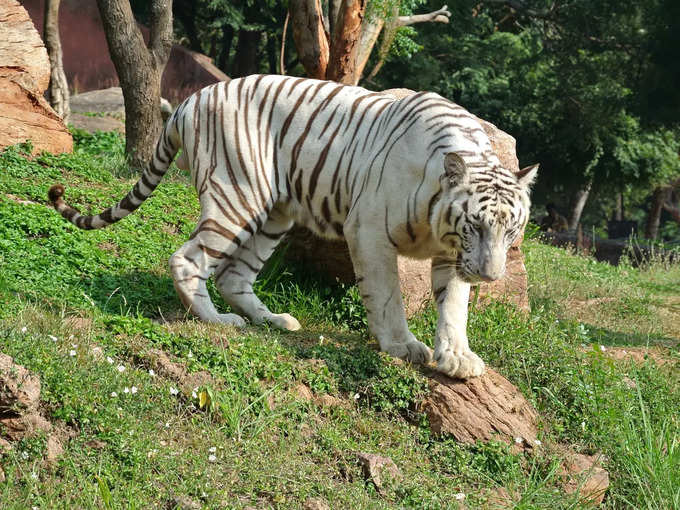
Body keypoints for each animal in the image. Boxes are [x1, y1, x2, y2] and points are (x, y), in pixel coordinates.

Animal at [46, 74, 536, 378]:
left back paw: (274, 320)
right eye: (476, 226)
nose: (491, 275)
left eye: (511, 231)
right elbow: (388, 296)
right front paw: (401, 345)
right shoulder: (370, 232)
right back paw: (216, 320)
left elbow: (454, 306)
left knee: (233, 274)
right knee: (189, 259)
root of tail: (189, 100)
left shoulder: (451, 254)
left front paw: (457, 357)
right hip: (238, 194)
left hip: (274, 213)